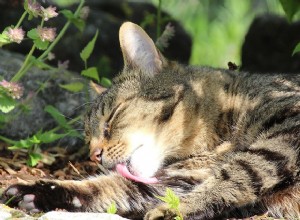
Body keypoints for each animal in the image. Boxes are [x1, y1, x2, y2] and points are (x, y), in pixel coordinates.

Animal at [2, 21, 300, 219]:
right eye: (88, 138)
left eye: (111, 117)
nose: (93, 155)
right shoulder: (175, 181)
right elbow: (105, 187)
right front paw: (35, 191)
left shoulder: (287, 130)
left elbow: (241, 170)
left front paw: (176, 210)